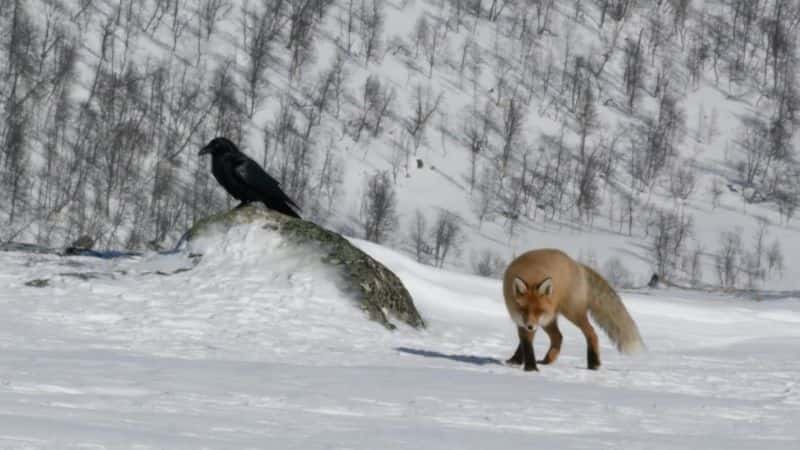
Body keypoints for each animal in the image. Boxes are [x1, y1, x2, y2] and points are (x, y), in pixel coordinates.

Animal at [506, 248, 644, 370]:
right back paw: (547, 360)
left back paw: (594, 363)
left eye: (539, 311)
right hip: (549, 320)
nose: (530, 326)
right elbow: (525, 343)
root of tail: (577, 264)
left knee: (591, 332)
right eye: (524, 309)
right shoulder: (521, 320)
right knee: (558, 337)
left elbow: (527, 344)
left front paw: (530, 368)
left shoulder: (537, 320)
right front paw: (518, 361)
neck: (532, 275)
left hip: (572, 313)